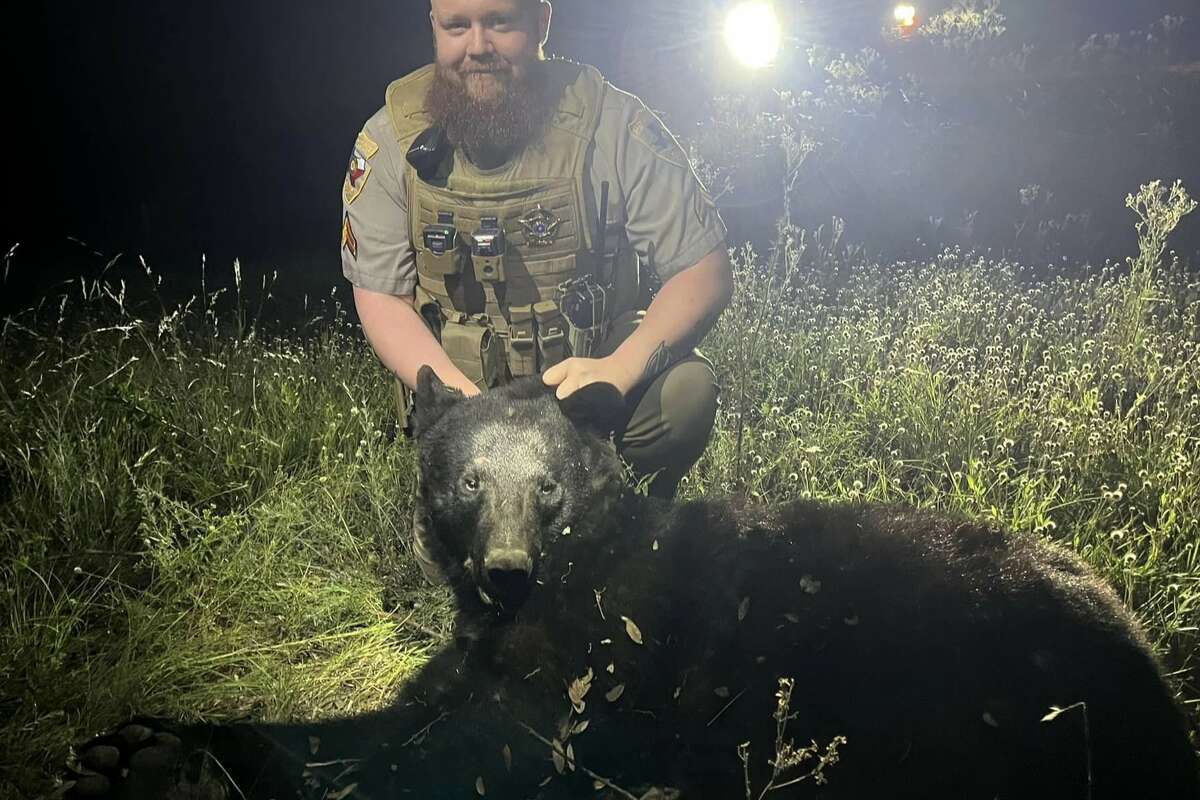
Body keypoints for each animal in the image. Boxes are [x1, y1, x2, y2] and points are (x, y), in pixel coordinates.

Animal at [70, 371, 1195, 800]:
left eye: (549, 486)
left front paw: (155, 753)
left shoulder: (592, 665)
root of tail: (1142, 655)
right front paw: (143, 742)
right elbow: (413, 704)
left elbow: (469, 746)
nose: (506, 572)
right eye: (466, 480)